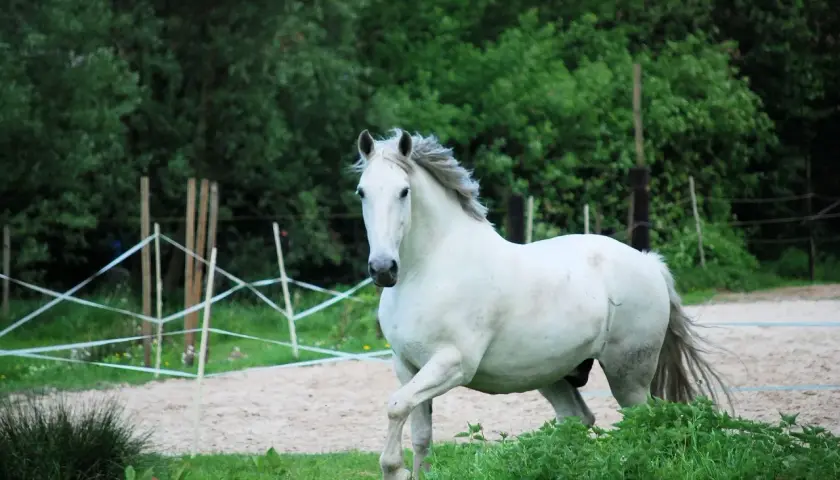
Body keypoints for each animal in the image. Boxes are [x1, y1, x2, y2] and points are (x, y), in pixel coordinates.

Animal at [350, 128, 732, 480]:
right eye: (362, 191)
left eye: (404, 191)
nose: (382, 269)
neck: (429, 268)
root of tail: (650, 263)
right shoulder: (408, 366)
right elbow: (420, 435)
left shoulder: (453, 363)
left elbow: (395, 407)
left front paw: (393, 468)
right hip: (553, 373)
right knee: (578, 419)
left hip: (629, 374)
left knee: (640, 423)